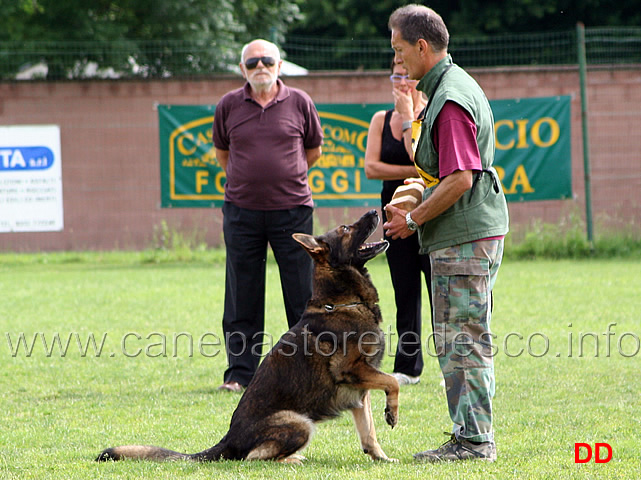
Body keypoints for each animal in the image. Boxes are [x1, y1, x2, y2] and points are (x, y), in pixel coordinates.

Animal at [97, 211, 398, 464]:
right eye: (346, 229)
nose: (375, 211)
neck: (343, 301)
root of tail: (228, 440)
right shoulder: (353, 370)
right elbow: (392, 382)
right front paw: (392, 412)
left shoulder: (360, 388)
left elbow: (369, 431)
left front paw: (381, 457)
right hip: (300, 422)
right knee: (252, 458)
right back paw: (291, 460)